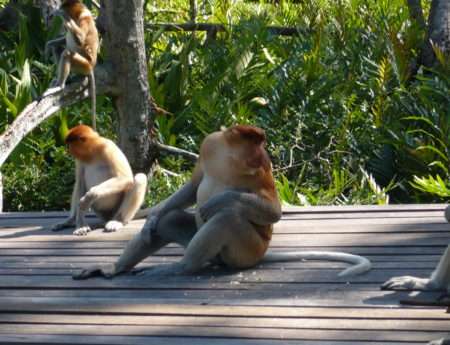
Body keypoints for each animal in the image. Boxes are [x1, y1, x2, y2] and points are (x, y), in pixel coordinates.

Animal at [44, 0, 98, 129]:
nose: (56, 12)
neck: (78, 15)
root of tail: (91, 68)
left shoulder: (85, 19)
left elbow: (81, 40)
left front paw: (63, 15)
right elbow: (60, 41)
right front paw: (48, 44)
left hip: (84, 65)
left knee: (67, 53)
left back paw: (60, 86)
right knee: (58, 49)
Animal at [72, 125, 370, 278]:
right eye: (256, 142)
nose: (262, 153)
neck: (229, 156)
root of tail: (261, 253)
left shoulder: (263, 171)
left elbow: (272, 211)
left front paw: (220, 201)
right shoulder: (210, 144)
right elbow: (192, 187)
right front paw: (150, 222)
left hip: (247, 251)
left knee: (228, 219)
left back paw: (179, 267)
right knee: (171, 219)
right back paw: (113, 268)